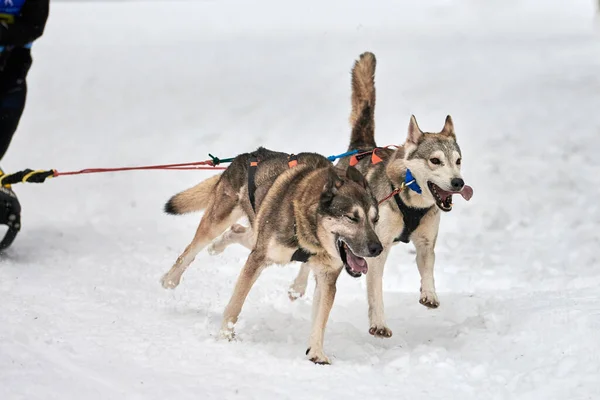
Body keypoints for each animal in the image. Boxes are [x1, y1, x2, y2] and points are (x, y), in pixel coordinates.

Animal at [159, 148, 382, 364]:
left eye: (375, 219)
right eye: (352, 218)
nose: (377, 248)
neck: (308, 233)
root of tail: (247, 155)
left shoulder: (326, 277)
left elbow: (321, 319)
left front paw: (317, 352)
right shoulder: (257, 259)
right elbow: (235, 305)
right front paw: (225, 335)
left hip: (255, 232)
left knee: (236, 230)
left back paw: (217, 246)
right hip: (218, 223)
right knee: (190, 251)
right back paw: (170, 279)